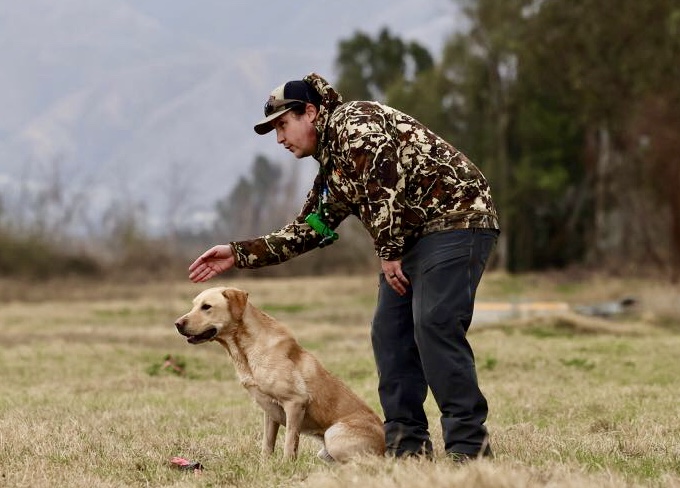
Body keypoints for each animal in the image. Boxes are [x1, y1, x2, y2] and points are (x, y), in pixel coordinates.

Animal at [174, 286, 388, 462]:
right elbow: (267, 444)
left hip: (333, 434)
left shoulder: (295, 403)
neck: (245, 350)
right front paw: (265, 466)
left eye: (206, 306)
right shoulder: (270, 412)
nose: (177, 324)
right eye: (194, 305)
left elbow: (290, 443)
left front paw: (286, 466)